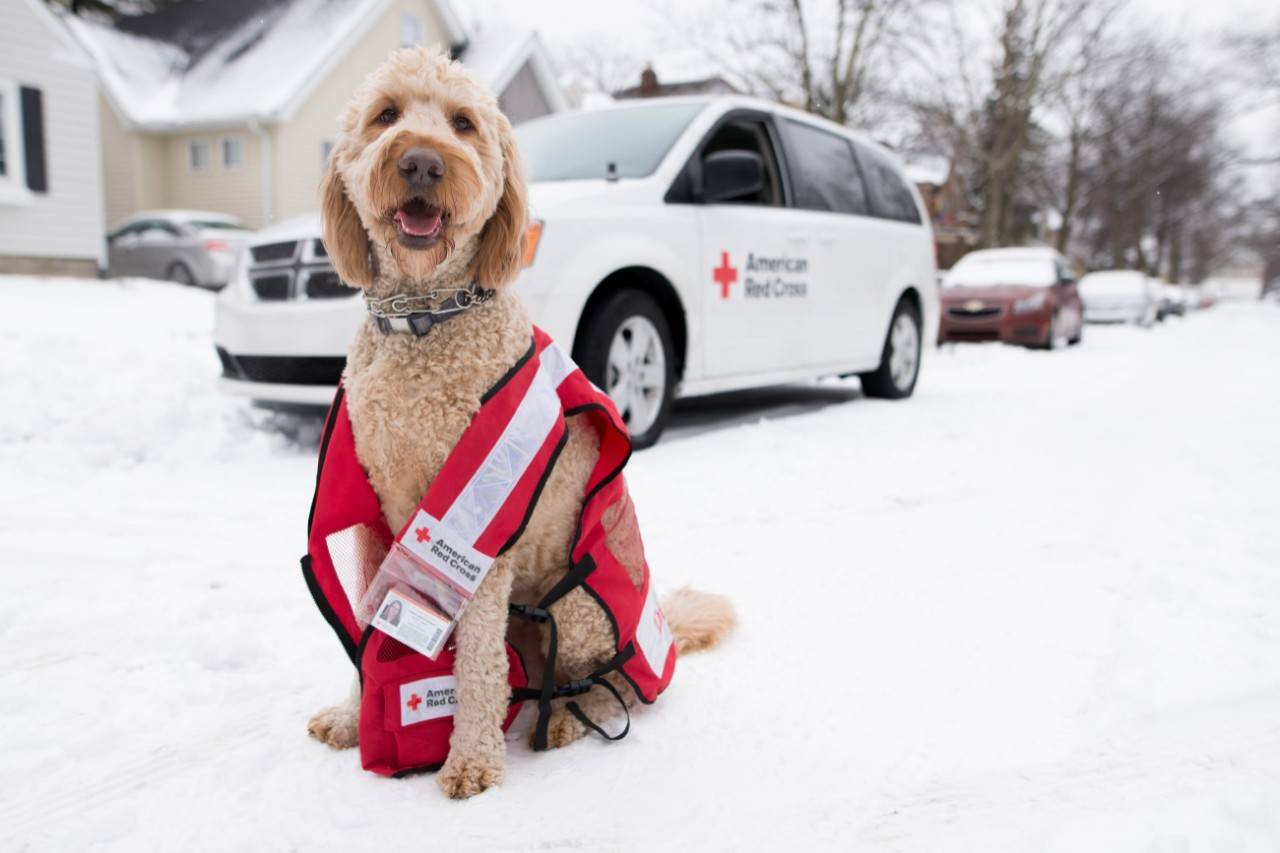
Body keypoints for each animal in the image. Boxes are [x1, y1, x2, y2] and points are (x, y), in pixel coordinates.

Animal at [303, 49, 737, 799]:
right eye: (386, 115)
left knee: (606, 684)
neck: (425, 320)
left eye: (463, 123)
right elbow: (365, 622)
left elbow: (479, 662)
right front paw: (355, 714)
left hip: (579, 607)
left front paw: (471, 759)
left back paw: (563, 720)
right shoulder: (379, 522)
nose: (421, 162)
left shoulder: (482, 539)